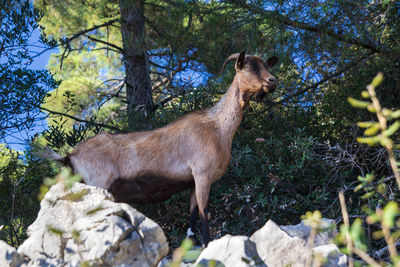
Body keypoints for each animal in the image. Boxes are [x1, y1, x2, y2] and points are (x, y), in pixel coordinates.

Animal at [42, 51, 276, 247]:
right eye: (248, 66)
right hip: (98, 183)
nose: (272, 81)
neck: (218, 128)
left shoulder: (192, 181)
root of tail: (70, 156)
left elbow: (192, 215)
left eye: (265, 65)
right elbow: (204, 213)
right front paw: (207, 244)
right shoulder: (202, 173)